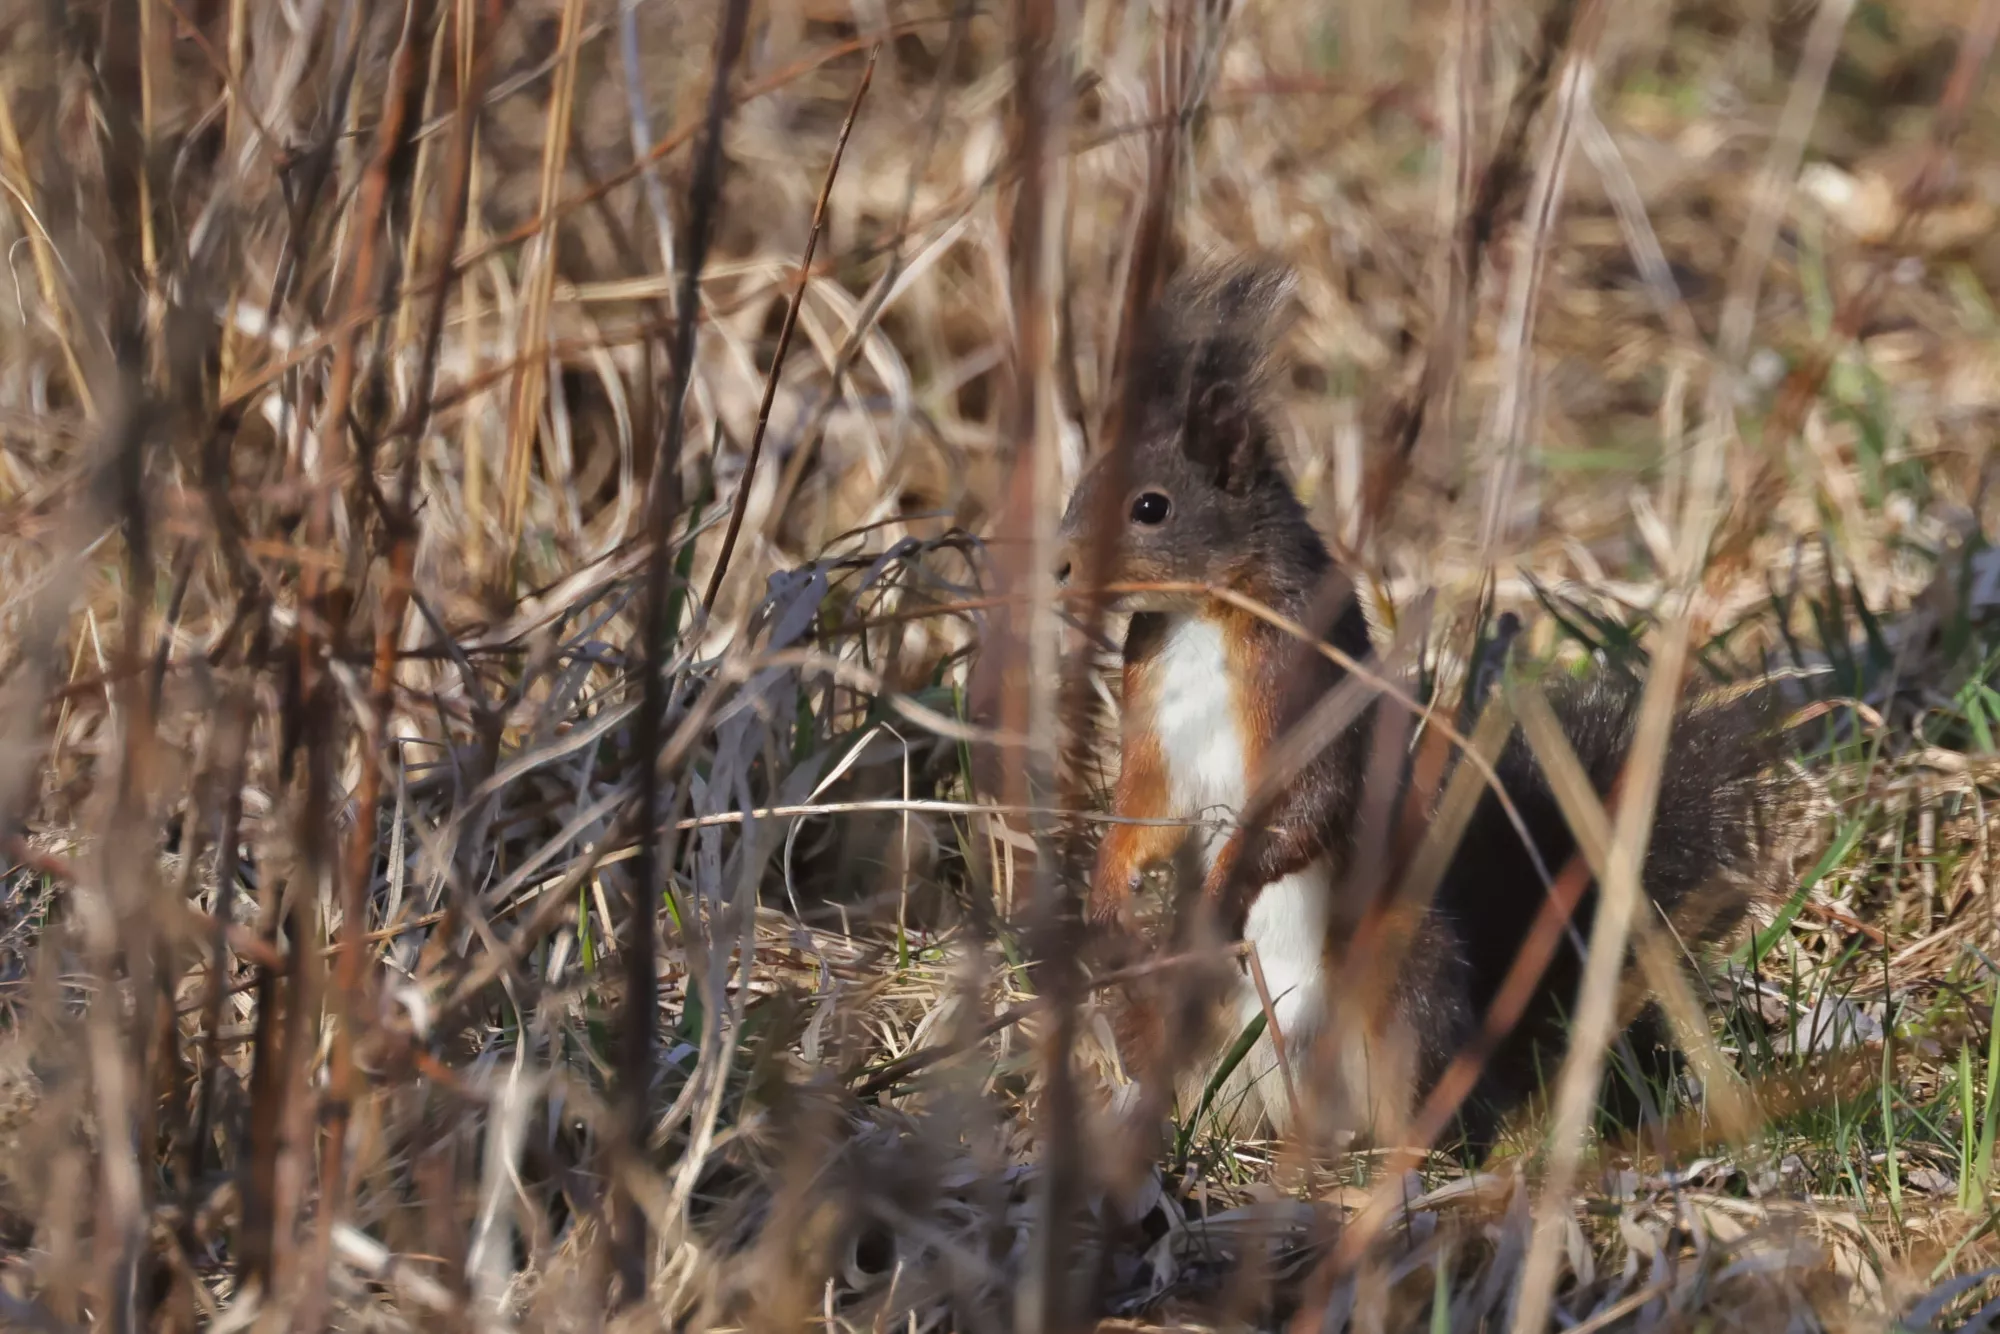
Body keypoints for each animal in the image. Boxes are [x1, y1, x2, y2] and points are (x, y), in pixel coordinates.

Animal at [1054, 259, 1805, 1156]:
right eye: (1082, 487)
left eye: (1150, 507)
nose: (1059, 566)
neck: (1203, 612)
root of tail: (1303, 1115)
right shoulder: (1155, 715)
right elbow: (1148, 807)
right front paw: (1106, 892)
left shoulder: (1307, 680)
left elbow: (1313, 800)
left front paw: (1229, 882)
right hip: (1180, 1015)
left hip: (1405, 985)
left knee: (1423, 1091)